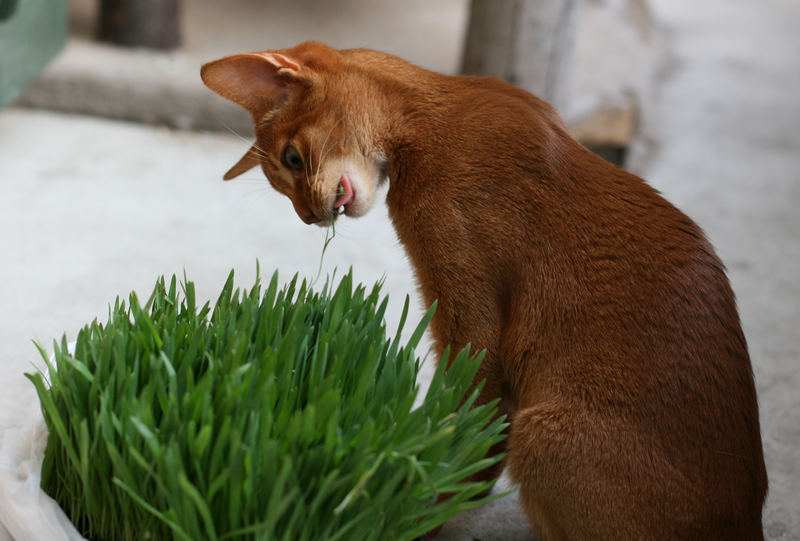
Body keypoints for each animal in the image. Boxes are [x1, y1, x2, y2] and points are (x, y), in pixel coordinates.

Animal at [202, 41, 768, 540]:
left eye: (293, 160)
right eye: (283, 187)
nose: (308, 217)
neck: (432, 111)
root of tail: (746, 524)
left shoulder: (471, 318)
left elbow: (467, 423)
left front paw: (419, 504)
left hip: (543, 436)